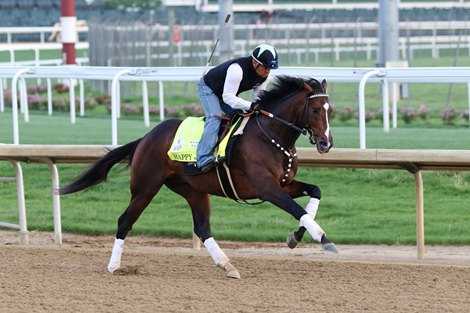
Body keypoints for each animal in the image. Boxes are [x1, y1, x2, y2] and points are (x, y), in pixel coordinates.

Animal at [60, 75, 336, 278]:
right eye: (314, 110)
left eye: (329, 110)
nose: (326, 143)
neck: (271, 136)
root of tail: (146, 137)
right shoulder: (266, 188)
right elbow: (296, 209)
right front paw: (323, 238)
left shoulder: (284, 184)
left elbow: (315, 192)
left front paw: (296, 236)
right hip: (145, 187)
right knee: (124, 221)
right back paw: (114, 266)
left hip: (193, 190)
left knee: (202, 228)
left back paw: (228, 266)